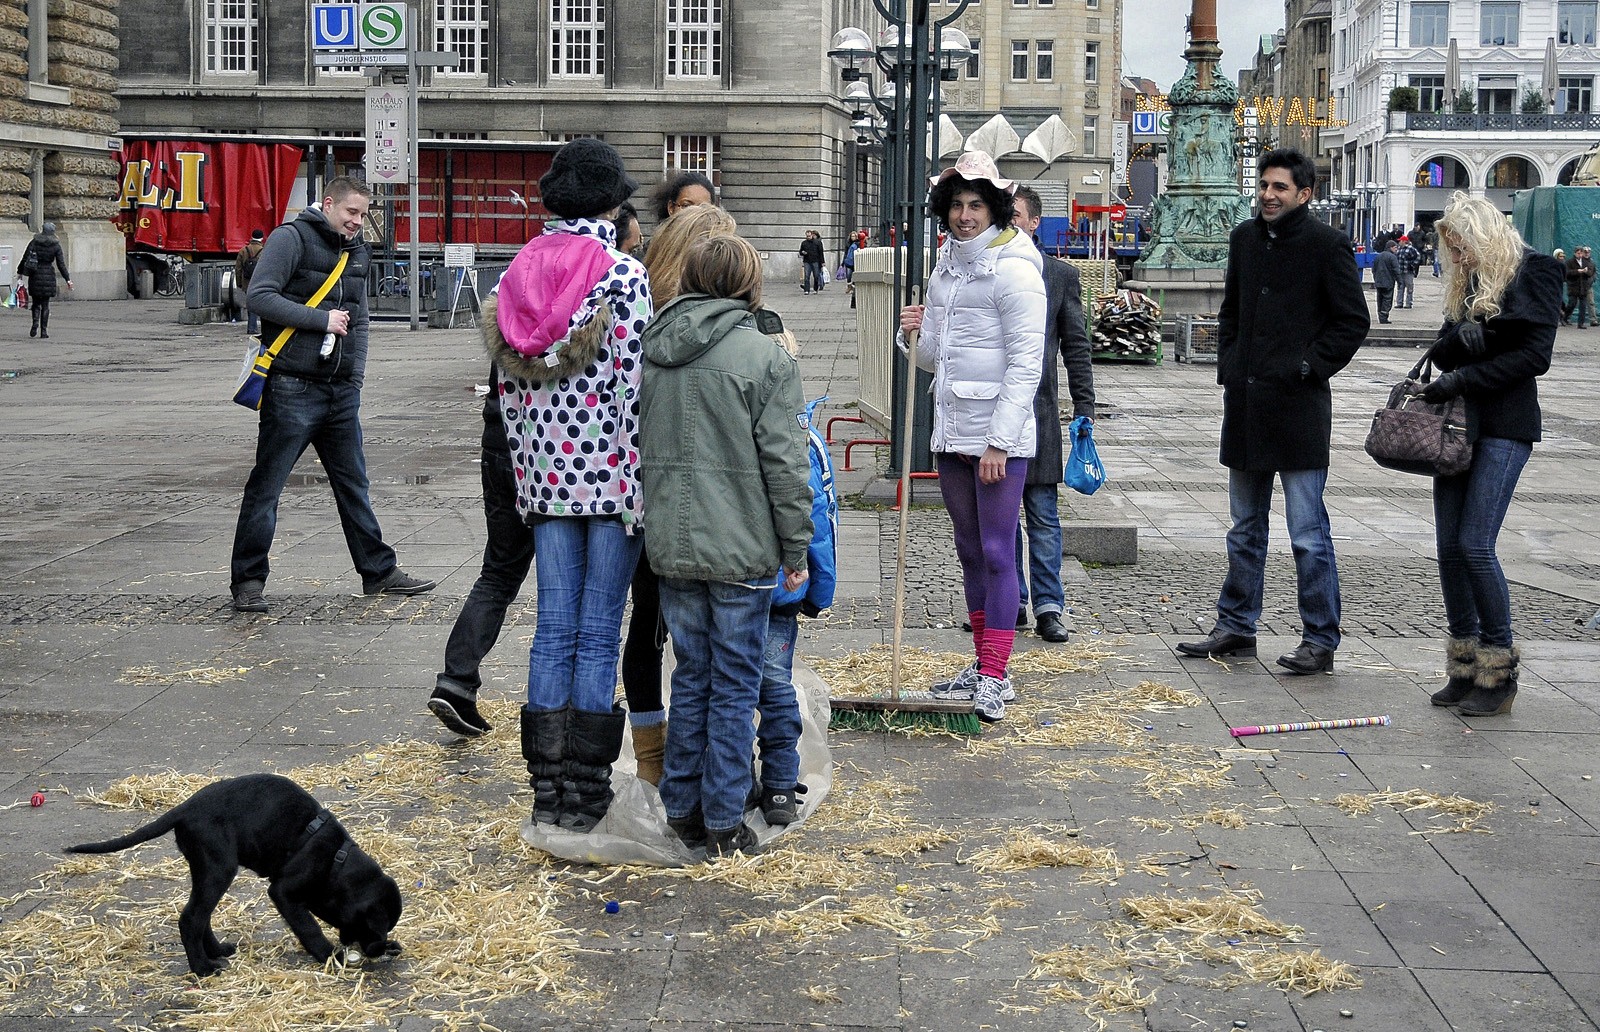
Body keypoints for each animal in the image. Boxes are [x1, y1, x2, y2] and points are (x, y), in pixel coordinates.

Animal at [68, 774, 403, 972]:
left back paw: (216, 951)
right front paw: (332, 956)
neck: (337, 861)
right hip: (219, 868)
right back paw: (202, 968)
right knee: (191, 917)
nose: (376, 949)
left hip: (207, 870)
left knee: (200, 915)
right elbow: (309, 929)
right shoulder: (283, 893)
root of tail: (185, 809)